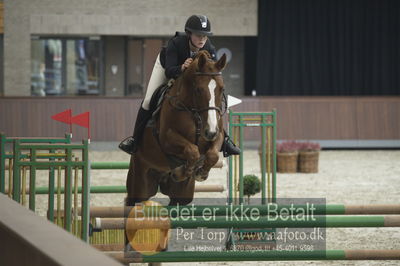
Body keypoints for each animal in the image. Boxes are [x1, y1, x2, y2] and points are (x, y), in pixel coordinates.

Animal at [126, 50, 227, 206]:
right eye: (198, 89)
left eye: (221, 89)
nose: (210, 132)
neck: (193, 110)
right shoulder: (167, 139)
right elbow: (192, 150)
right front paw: (181, 172)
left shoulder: (218, 134)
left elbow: (213, 154)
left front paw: (200, 173)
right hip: (139, 183)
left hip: (180, 194)